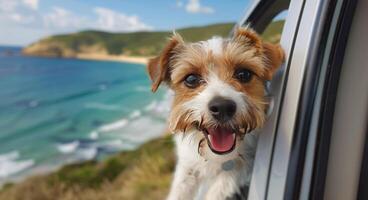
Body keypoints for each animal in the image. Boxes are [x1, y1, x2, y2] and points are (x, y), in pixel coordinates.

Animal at [147, 27, 284, 200]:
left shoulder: (241, 167)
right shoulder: (187, 166)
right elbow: (179, 191)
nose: (222, 107)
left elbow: (220, 187)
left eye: (244, 74)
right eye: (191, 79)